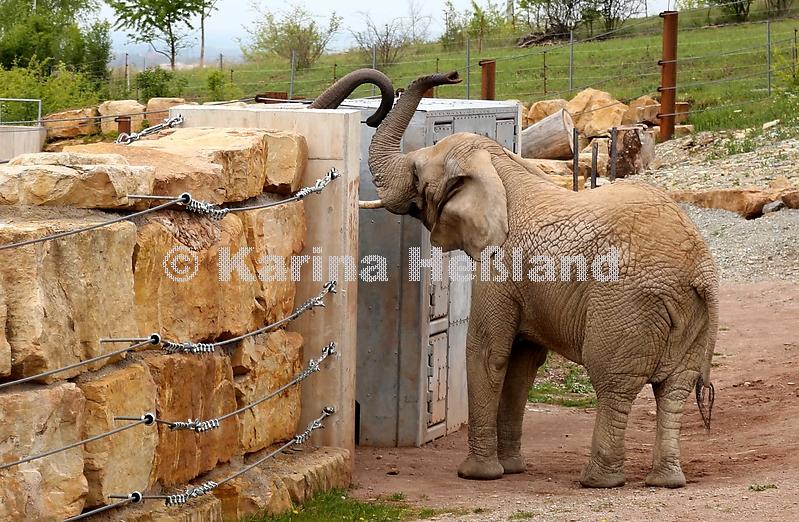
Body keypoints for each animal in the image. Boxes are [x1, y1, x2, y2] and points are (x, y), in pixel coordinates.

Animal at [365, 71, 719, 489]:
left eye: (417, 173)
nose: (451, 74)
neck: (502, 165)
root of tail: (701, 268)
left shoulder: (500, 265)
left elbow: (488, 353)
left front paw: (477, 475)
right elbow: (522, 364)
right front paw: (512, 468)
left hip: (627, 305)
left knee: (613, 384)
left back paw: (598, 481)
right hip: (690, 315)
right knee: (675, 389)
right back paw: (665, 481)